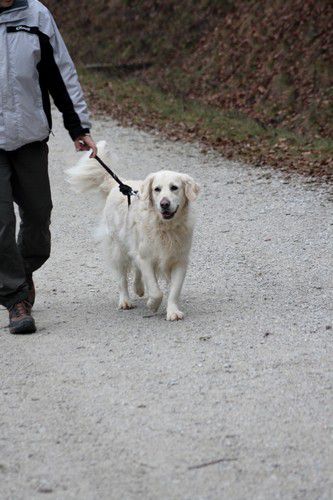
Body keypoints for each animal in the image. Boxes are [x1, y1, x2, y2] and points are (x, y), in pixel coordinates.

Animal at [66, 141, 198, 320]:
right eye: (157, 189)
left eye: (174, 187)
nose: (164, 204)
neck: (165, 227)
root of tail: (119, 184)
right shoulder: (147, 257)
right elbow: (156, 291)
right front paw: (152, 304)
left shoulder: (179, 259)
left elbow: (174, 290)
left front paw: (172, 311)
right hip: (118, 249)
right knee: (122, 279)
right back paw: (125, 301)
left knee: (136, 270)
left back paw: (139, 288)